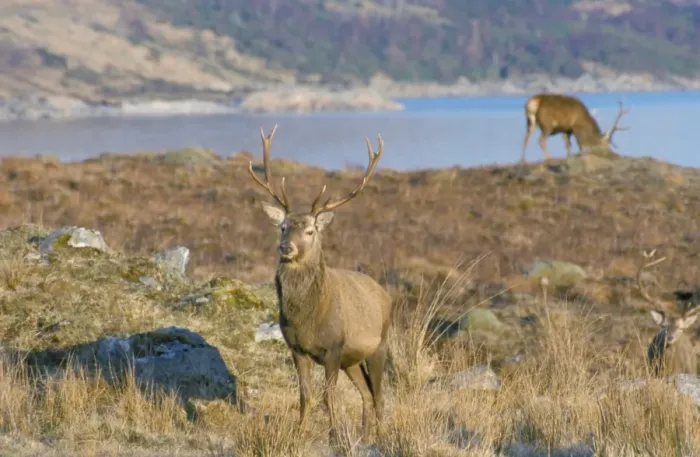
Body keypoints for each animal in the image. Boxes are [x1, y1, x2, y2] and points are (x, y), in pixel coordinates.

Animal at [247, 125, 393, 445]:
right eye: (283, 227)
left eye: (311, 231)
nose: (285, 248)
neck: (307, 319)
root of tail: (385, 293)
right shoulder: (296, 348)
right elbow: (306, 397)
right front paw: (298, 434)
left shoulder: (334, 347)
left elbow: (330, 398)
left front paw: (335, 437)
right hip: (352, 360)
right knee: (366, 395)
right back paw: (364, 437)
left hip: (379, 345)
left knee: (379, 396)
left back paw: (381, 436)